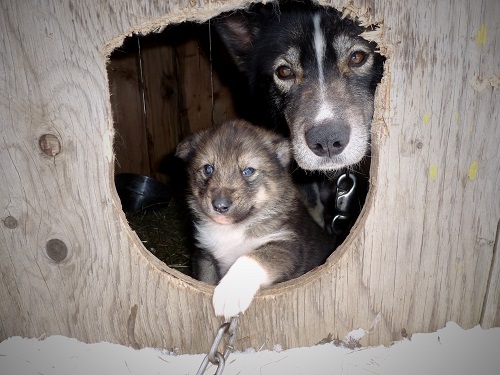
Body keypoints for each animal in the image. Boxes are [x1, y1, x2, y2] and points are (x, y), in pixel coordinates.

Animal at [175, 121, 332, 320]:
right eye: (208, 169)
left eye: (248, 170)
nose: (219, 206)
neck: (231, 229)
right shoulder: (204, 257)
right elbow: (206, 280)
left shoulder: (286, 246)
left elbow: (252, 258)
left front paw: (230, 292)